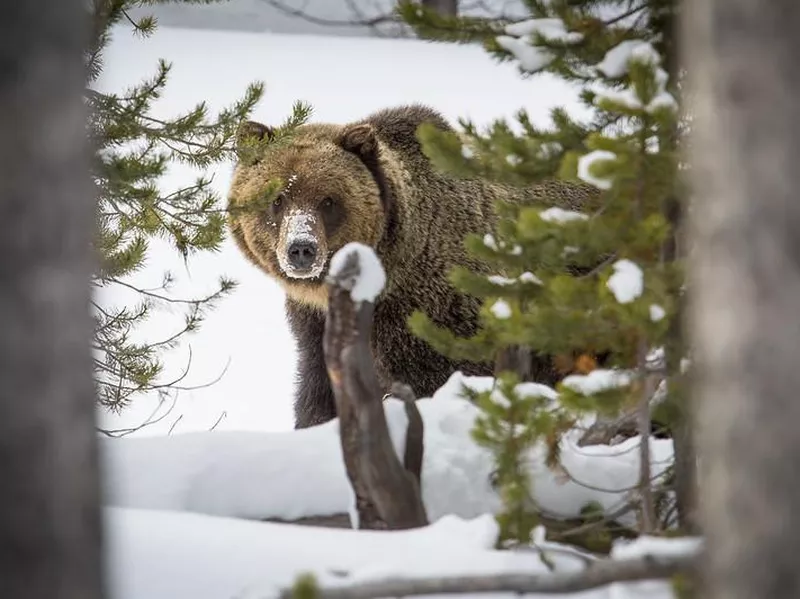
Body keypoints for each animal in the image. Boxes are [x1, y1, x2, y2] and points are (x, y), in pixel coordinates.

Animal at [223, 105, 592, 428]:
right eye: (277, 199)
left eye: (328, 200)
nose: (301, 249)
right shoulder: (314, 326)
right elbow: (320, 393)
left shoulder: (431, 316)